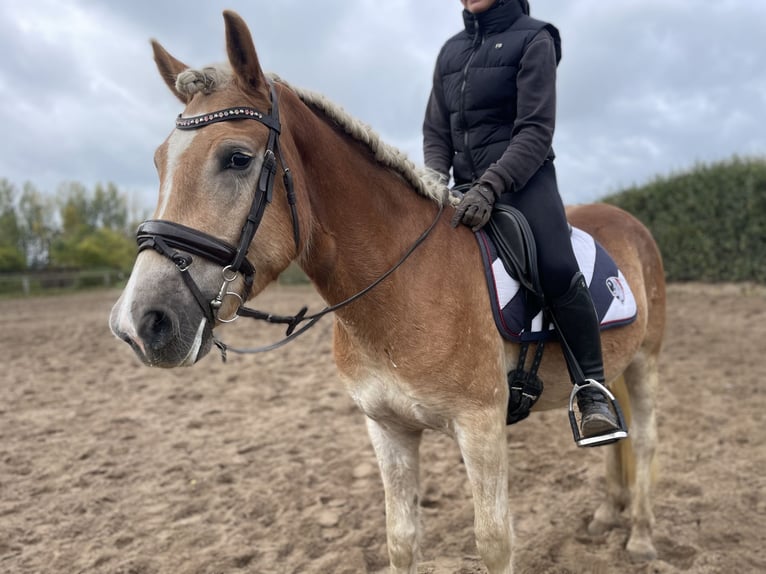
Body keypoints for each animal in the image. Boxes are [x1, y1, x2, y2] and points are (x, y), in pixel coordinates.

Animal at [109, 11, 665, 573]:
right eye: (158, 162)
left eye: (237, 158)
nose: (139, 323)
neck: (401, 288)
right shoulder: (386, 427)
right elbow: (401, 538)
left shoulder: (482, 426)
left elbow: (494, 542)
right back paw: (608, 514)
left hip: (645, 360)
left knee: (642, 439)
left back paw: (641, 536)